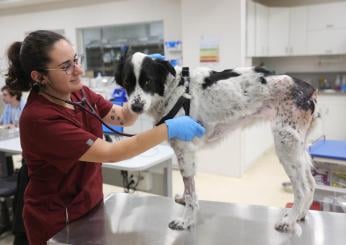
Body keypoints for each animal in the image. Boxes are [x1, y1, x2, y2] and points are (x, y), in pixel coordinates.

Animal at [115, 52, 318, 234]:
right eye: (127, 83)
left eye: (148, 81)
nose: (135, 107)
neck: (174, 91)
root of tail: (308, 87)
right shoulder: (185, 153)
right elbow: (189, 187)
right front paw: (184, 203)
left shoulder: (185, 150)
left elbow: (191, 193)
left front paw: (186, 221)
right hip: (298, 148)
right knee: (311, 183)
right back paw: (301, 214)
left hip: (285, 145)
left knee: (301, 189)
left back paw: (289, 221)